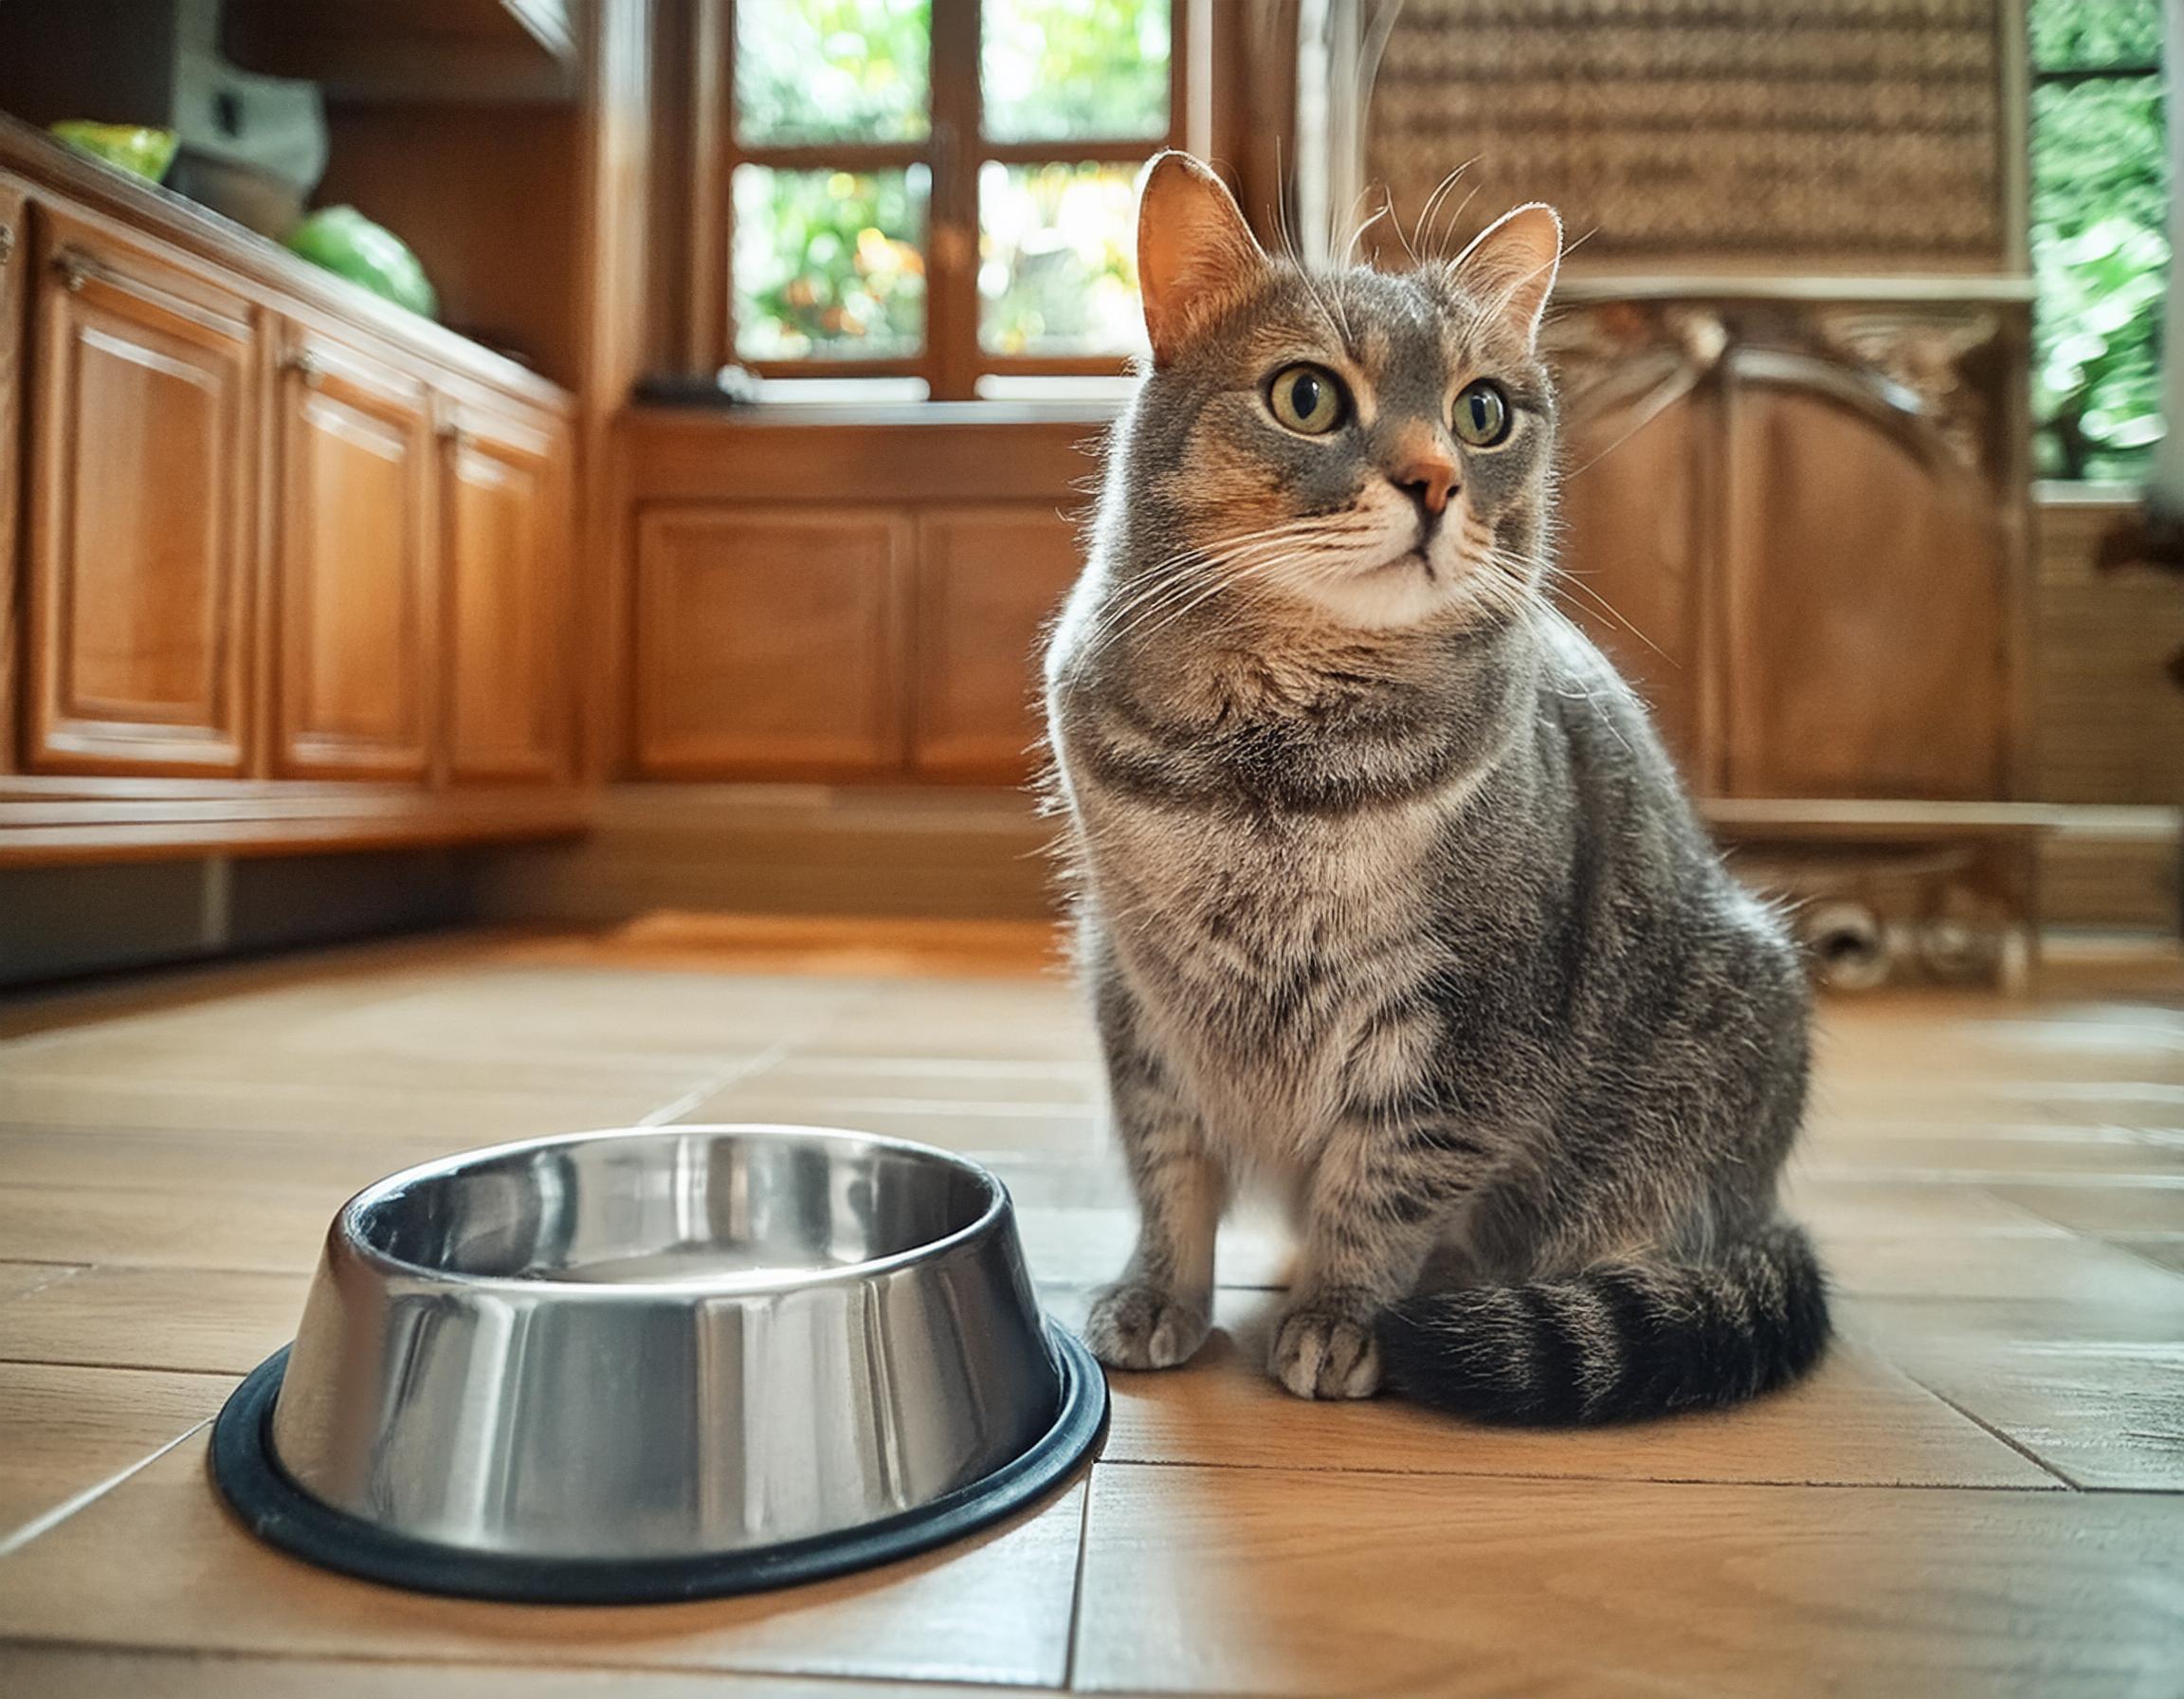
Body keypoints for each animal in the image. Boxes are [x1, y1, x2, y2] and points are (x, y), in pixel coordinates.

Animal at [1044, 152, 1826, 1415]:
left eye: (1483, 412)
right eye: (1308, 397)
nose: (1434, 481)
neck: (1273, 765)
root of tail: (1761, 1208)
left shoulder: (1465, 1023)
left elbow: (1382, 1189)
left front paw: (1337, 1318)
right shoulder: (1142, 990)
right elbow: (1170, 1169)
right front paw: (1160, 1293)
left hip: (1716, 1048)